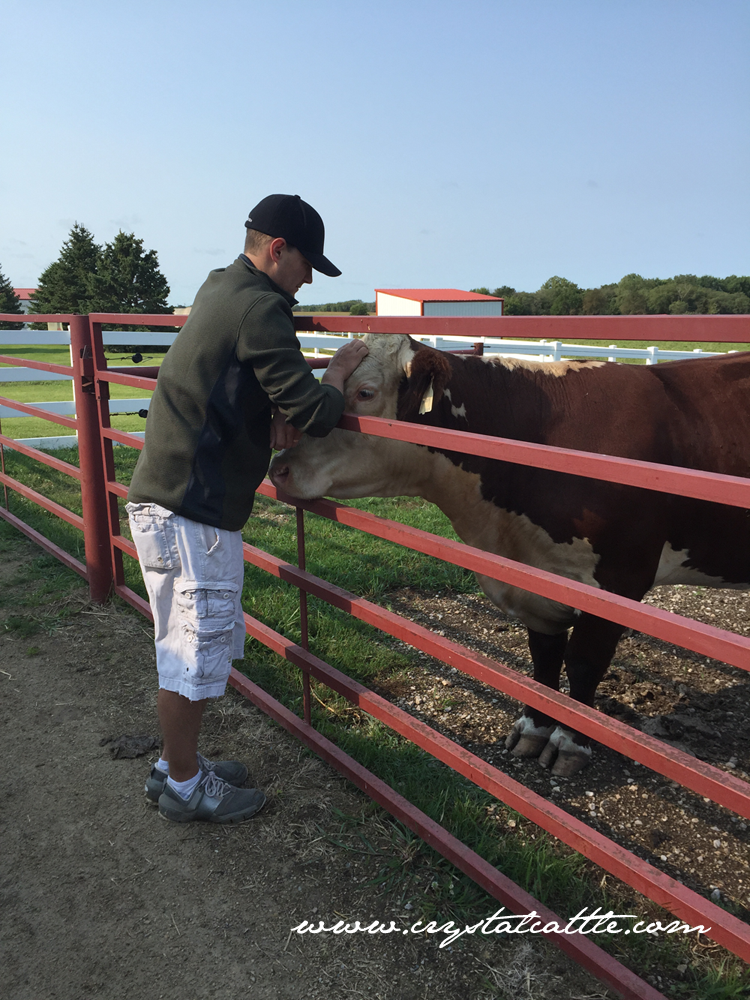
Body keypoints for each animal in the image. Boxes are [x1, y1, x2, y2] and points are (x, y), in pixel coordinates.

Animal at [269, 334, 750, 775]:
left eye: (365, 393)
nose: (280, 467)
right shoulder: (533, 581)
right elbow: (544, 657)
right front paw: (535, 728)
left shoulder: (621, 580)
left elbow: (584, 662)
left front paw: (570, 742)